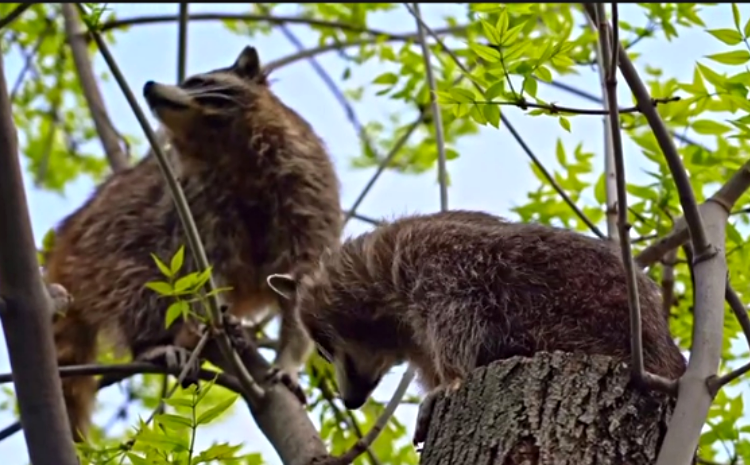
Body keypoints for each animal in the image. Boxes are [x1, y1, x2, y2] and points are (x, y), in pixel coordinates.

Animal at [46, 45, 340, 440]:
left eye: (197, 82)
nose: (149, 86)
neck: (223, 148)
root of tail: (66, 237)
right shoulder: (195, 201)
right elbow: (200, 265)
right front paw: (211, 312)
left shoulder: (308, 190)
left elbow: (301, 279)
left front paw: (289, 358)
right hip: (103, 247)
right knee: (139, 283)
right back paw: (153, 343)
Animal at [268, 209, 688, 442]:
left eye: (324, 349)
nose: (351, 402)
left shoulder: (439, 260)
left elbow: (460, 318)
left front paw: (451, 381)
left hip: (585, 306)